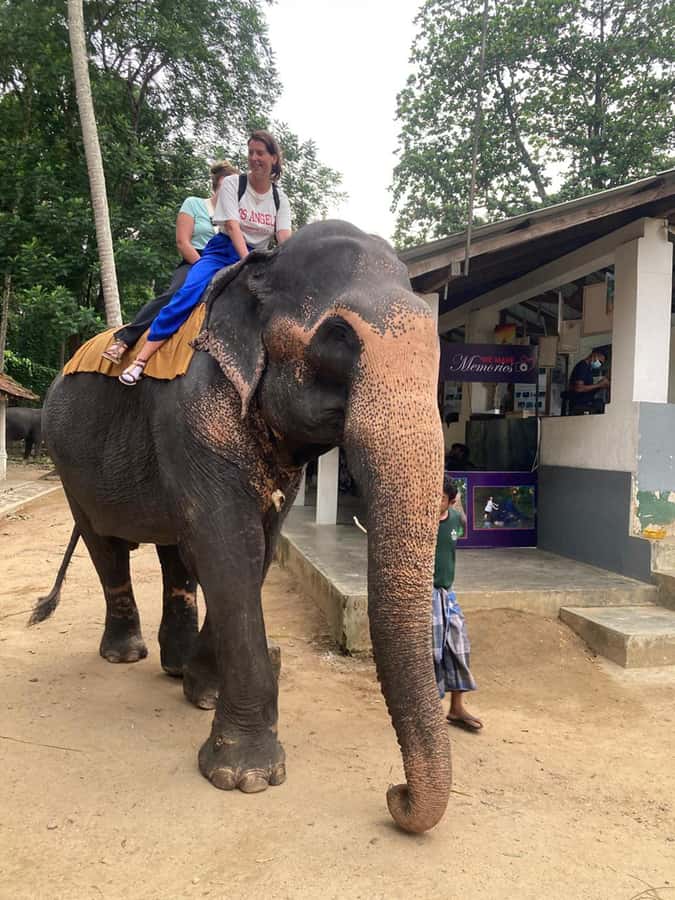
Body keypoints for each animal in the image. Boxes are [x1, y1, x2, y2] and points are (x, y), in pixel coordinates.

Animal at [30, 220, 449, 833]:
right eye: (339, 336)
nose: (395, 794)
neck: (259, 272)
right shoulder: (191, 409)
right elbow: (229, 546)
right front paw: (244, 777)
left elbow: (256, 549)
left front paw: (203, 693)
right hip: (67, 460)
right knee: (107, 545)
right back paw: (124, 656)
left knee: (175, 555)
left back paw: (175, 666)